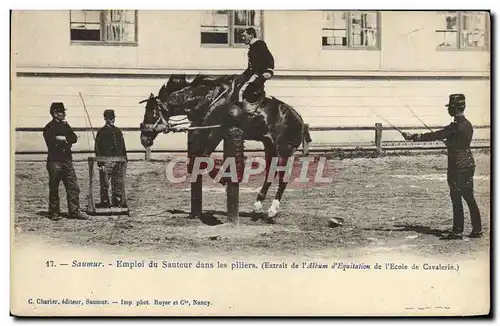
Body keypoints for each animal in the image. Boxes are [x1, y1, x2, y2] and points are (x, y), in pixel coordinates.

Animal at [141, 74, 310, 222]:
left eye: (151, 112)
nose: (144, 139)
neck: (208, 100)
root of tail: (300, 119)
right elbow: (198, 158)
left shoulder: (216, 133)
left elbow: (204, 157)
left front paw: (221, 177)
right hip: (269, 146)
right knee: (270, 174)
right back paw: (257, 207)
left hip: (283, 151)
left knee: (283, 179)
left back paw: (272, 211)